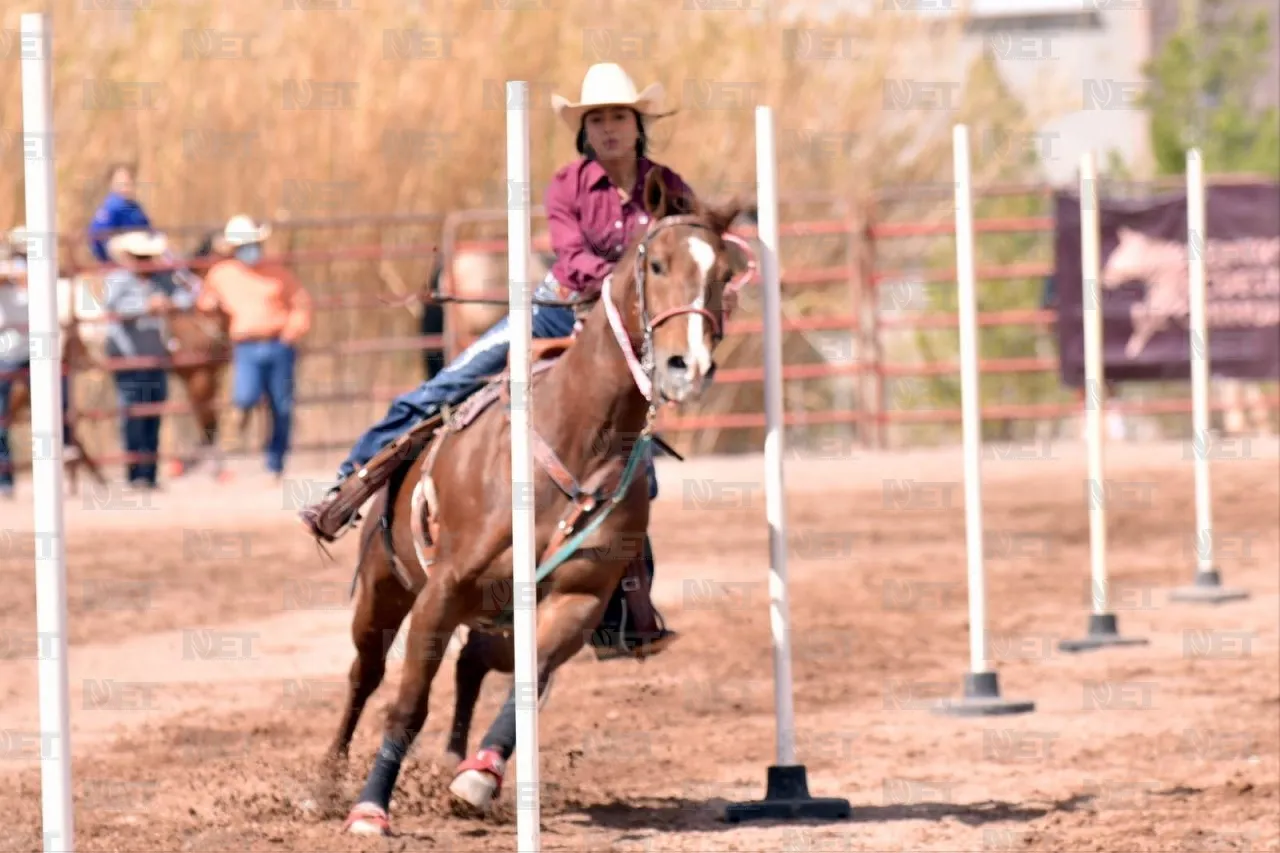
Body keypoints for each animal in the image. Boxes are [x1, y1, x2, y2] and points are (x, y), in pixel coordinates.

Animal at [314, 171, 747, 829]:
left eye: (723, 273)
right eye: (657, 264)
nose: (686, 367)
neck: (578, 434)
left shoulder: (576, 601)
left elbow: (528, 681)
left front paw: (477, 779)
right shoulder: (442, 591)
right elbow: (408, 701)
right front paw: (369, 810)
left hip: (497, 617)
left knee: (473, 664)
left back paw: (454, 764)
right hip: (382, 589)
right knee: (365, 674)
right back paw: (327, 785)